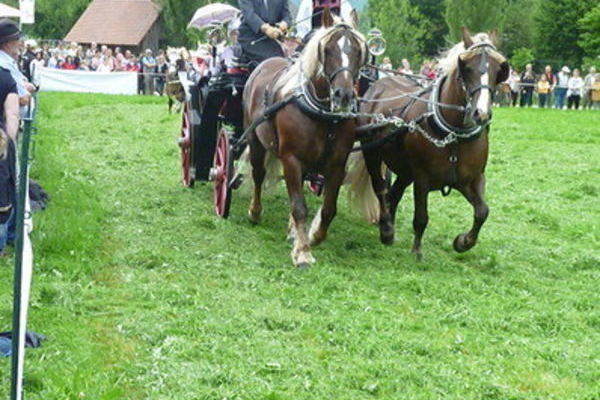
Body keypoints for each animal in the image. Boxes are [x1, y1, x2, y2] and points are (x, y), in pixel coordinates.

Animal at [243, 9, 366, 268]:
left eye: (359, 51)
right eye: (327, 49)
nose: (343, 95)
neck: (324, 116)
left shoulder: (336, 164)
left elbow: (328, 208)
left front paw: (313, 236)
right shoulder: (291, 159)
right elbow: (299, 207)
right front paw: (302, 252)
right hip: (255, 140)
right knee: (258, 175)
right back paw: (255, 212)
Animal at [350, 28, 508, 260]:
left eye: (499, 70)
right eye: (467, 67)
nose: (481, 114)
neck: (454, 137)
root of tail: (378, 83)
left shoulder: (472, 179)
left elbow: (482, 211)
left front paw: (463, 242)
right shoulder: (422, 178)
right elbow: (421, 217)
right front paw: (416, 251)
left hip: (404, 169)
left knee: (393, 193)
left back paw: (387, 227)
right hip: (373, 153)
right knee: (380, 188)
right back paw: (386, 229)